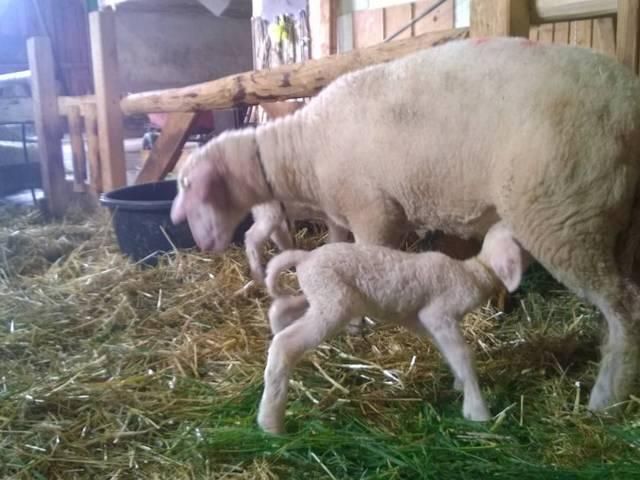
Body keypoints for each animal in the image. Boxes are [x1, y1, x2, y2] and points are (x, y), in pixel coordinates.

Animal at [169, 37, 640, 412]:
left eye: (192, 190)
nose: (203, 245)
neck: (300, 151)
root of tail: (629, 101)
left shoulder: (372, 210)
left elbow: (369, 253)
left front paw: (360, 324)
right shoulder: (341, 211)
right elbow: (336, 245)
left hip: (565, 212)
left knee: (624, 306)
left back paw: (606, 397)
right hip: (613, 221)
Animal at [258, 221, 528, 436]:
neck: (475, 272)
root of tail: (306, 258)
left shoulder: (429, 323)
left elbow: (451, 354)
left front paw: (460, 386)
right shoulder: (439, 315)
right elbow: (464, 356)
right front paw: (477, 410)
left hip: (322, 294)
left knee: (281, 307)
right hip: (334, 303)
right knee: (285, 344)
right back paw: (270, 423)